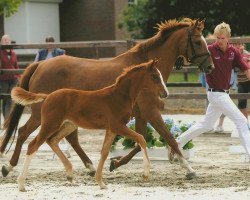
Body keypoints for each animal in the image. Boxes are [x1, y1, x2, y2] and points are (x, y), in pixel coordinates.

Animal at [10, 59, 169, 191]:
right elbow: (141, 138)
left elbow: (104, 153)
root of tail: (47, 96)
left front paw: (101, 182)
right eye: (155, 76)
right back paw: (21, 184)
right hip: (50, 124)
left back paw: (70, 173)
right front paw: (146, 173)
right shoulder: (118, 126)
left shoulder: (111, 129)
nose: (165, 93)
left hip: (68, 125)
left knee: (52, 140)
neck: (120, 96)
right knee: (33, 145)